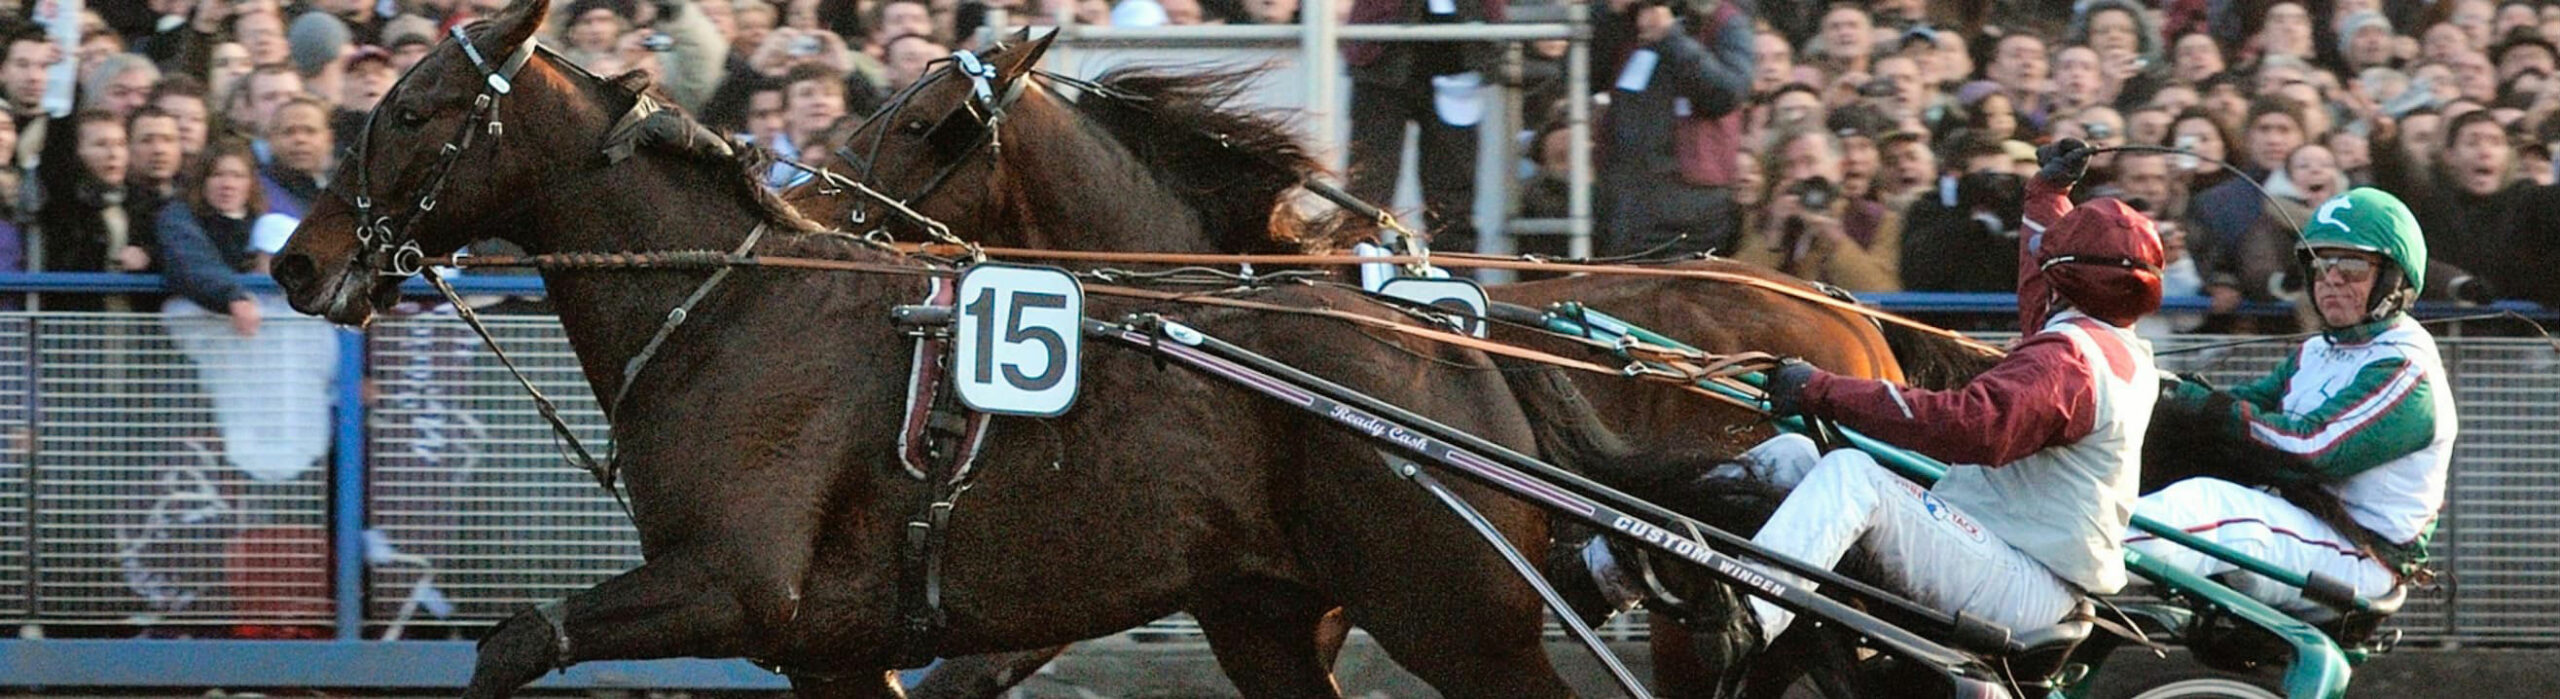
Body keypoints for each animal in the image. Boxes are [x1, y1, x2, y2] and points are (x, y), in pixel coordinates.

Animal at [280, 2, 1648, 691]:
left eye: (411, 110)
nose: (299, 258)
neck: (727, 311)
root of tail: (1458, 345)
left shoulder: (732, 586)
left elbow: (511, 646)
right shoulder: (823, 647)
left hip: (1454, 619)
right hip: (1266, 615)